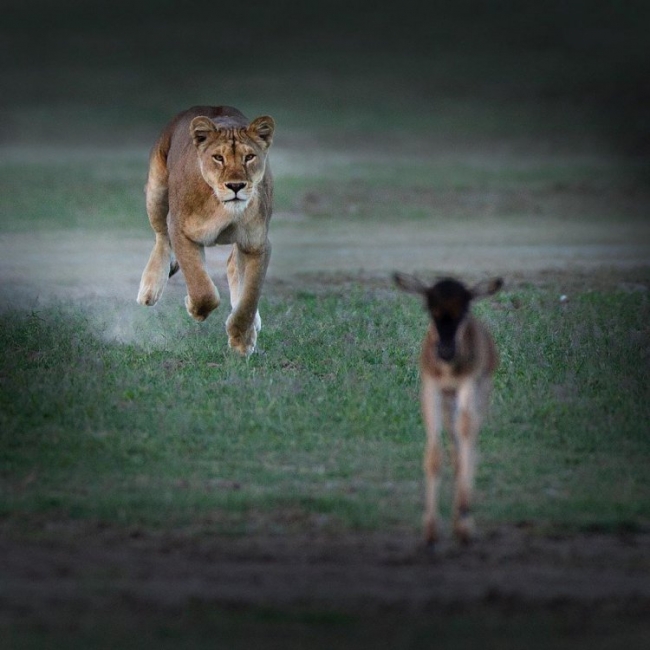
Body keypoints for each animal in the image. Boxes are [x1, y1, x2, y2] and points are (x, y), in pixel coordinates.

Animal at [390, 270, 502, 544]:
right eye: (430, 308)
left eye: (464, 309)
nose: (446, 350)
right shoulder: (431, 390)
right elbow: (434, 455)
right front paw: (431, 529)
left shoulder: (468, 384)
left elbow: (466, 434)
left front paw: (464, 515)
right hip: (448, 402)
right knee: (454, 447)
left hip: (480, 392)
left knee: (470, 437)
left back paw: (464, 521)